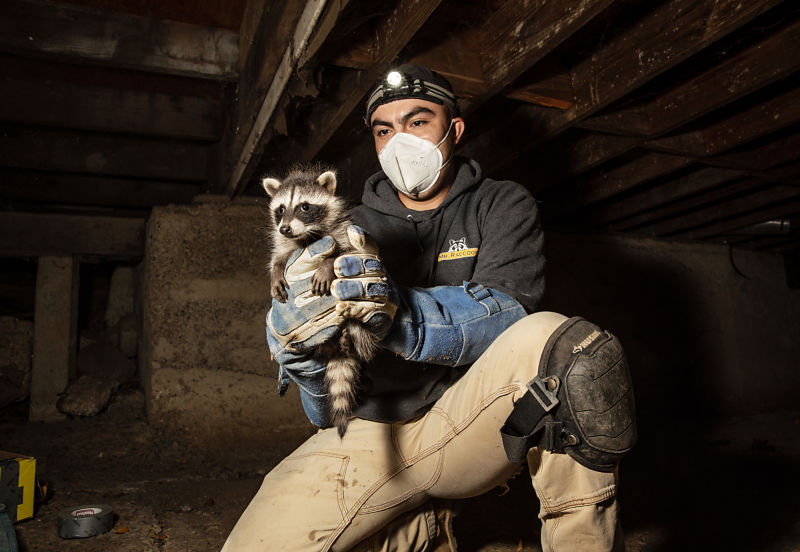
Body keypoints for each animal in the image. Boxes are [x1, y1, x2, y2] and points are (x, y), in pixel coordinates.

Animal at [262, 166, 380, 438]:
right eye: (280, 209)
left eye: (305, 207)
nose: (285, 228)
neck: (306, 237)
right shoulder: (285, 243)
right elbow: (278, 258)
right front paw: (276, 273)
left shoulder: (343, 232)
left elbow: (344, 252)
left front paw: (327, 266)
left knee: (361, 334)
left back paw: (351, 341)